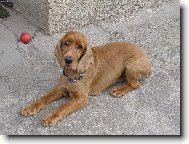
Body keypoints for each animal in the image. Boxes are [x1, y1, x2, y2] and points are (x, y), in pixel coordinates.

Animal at [19, 31, 151, 126]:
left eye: (80, 47)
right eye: (66, 43)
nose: (68, 60)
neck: (72, 75)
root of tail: (146, 57)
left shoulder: (81, 98)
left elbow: (63, 107)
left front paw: (51, 117)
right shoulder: (59, 89)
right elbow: (44, 98)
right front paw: (30, 107)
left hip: (130, 65)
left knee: (135, 84)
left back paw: (119, 90)